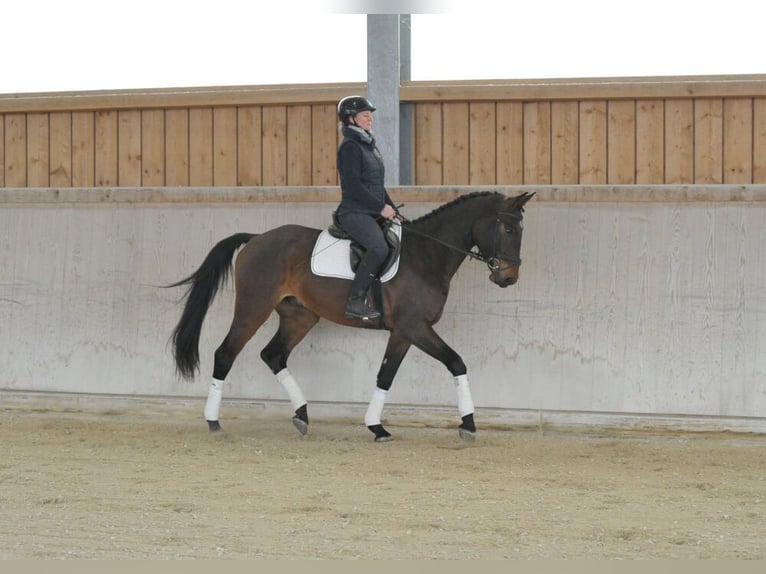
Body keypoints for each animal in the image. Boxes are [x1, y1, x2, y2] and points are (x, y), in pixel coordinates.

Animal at [168, 191, 534, 442]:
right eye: (506, 229)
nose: (509, 277)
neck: (427, 255)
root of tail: (256, 239)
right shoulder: (415, 327)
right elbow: (456, 362)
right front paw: (468, 424)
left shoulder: (403, 332)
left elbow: (385, 376)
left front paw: (377, 426)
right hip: (253, 307)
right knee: (225, 354)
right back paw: (214, 422)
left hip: (300, 316)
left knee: (273, 355)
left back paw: (302, 415)